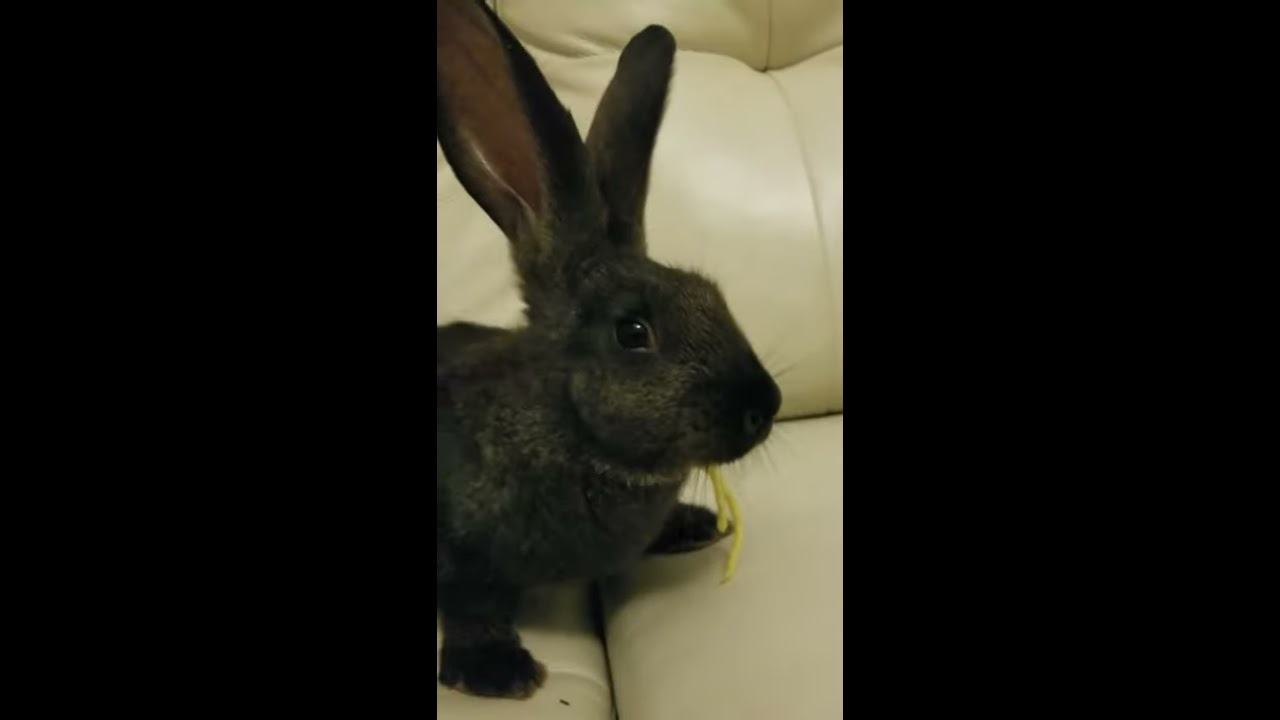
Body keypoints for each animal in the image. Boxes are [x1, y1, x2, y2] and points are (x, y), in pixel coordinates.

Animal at [436, 0, 782, 699]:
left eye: (711, 294)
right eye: (633, 332)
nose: (764, 406)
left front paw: (693, 524)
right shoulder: (458, 548)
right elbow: (468, 601)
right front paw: (497, 671)